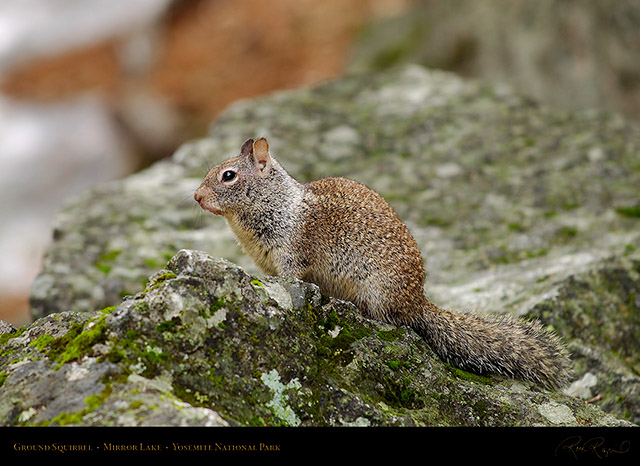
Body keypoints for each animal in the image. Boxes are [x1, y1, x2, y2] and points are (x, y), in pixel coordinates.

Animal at [194, 137, 568, 388]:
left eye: (228, 176)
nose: (196, 196)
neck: (276, 203)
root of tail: (418, 302)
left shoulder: (290, 253)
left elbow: (292, 277)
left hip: (378, 291)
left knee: (390, 321)